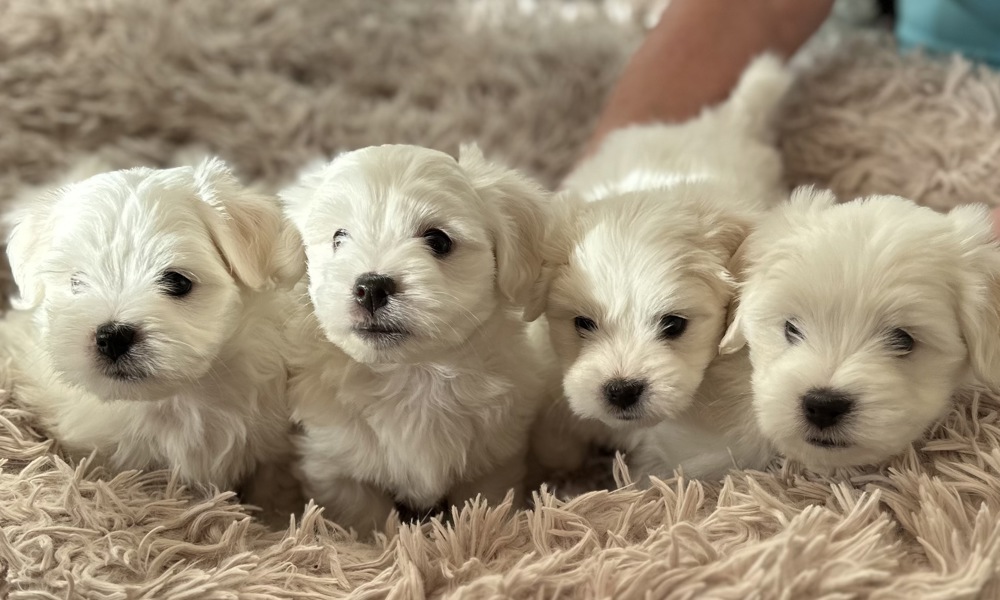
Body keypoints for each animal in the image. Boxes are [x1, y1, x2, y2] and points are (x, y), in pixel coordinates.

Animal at [278, 144, 552, 536]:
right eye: (338, 238)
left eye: (438, 240)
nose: (371, 287)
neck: (411, 373)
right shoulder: (336, 467)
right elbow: (364, 517)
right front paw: (380, 542)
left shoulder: (493, 458)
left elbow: (482, 503)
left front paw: (480, 532)